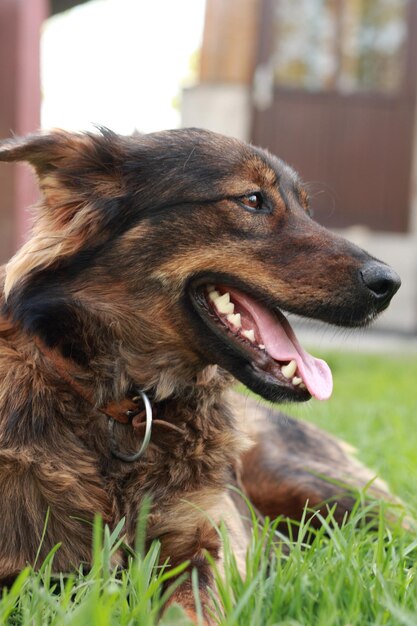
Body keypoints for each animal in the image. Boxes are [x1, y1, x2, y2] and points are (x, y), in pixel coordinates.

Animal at [0, 127, 400, 620]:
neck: (128, 409)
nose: (390, 284)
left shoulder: (204, 544)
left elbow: (186, 608)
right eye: (252, 199)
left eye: (307, 209)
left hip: (320, 486)